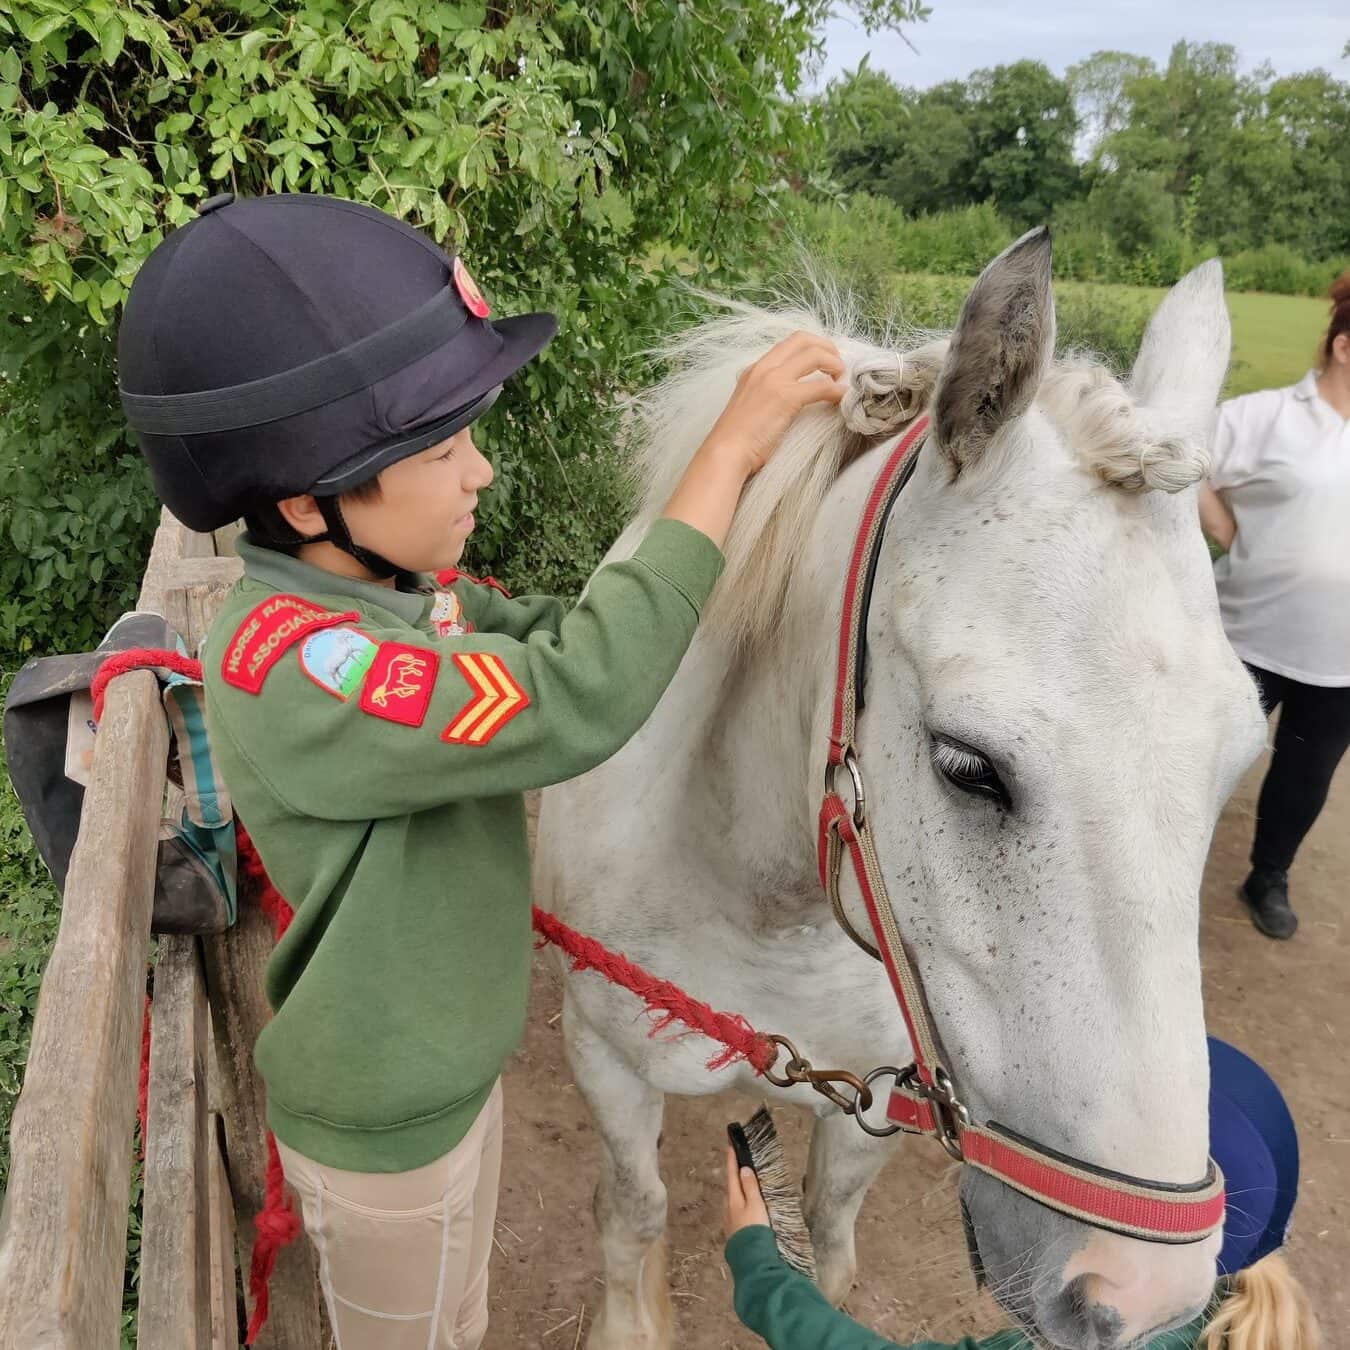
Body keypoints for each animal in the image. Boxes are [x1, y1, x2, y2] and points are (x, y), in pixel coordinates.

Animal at [534, 230, 1269, 1350]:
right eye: (968, 766)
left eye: (1236, 760)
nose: (1143, 1298)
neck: (756, 896)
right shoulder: (605, 1063)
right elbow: (635, 1213)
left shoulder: (871, 1108)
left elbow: (827, 1241)